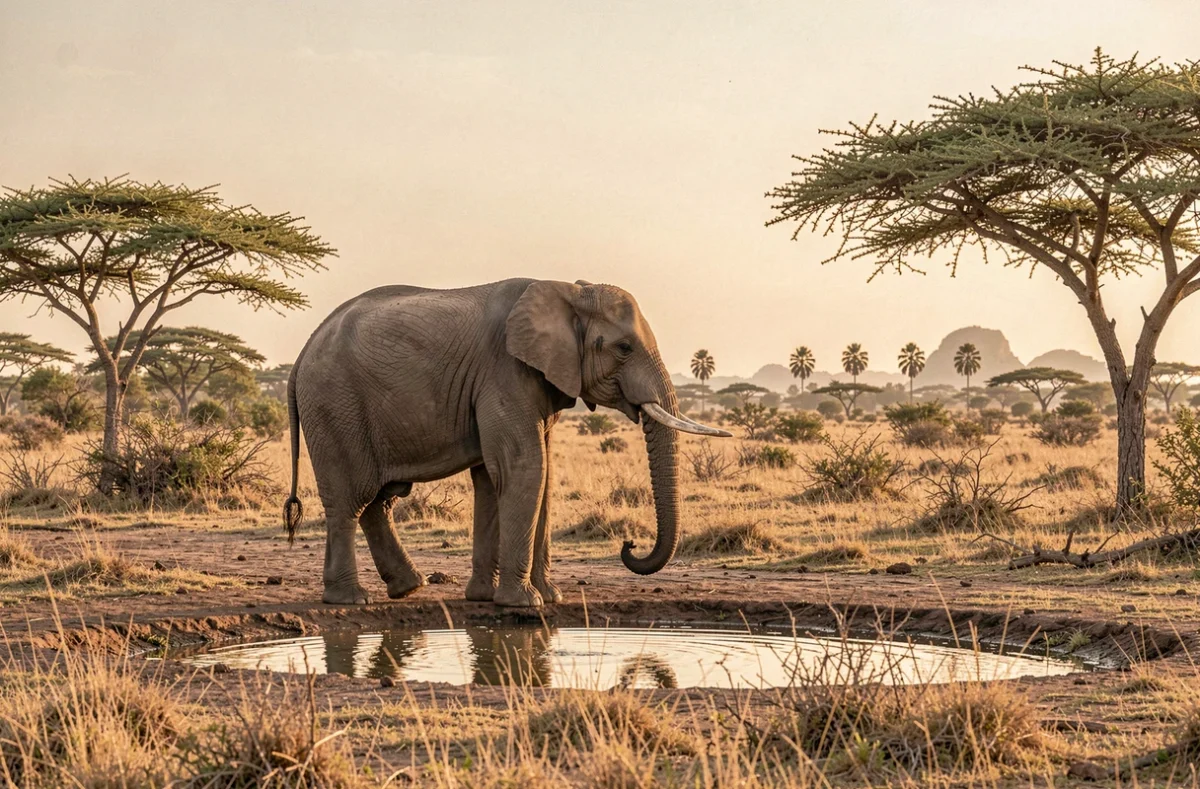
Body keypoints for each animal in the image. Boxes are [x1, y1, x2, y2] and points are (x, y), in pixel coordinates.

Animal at [282, 278, 729, 607]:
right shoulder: (505, 371)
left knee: (379, 501)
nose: (629, 545)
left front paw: (526, 597)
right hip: (334, 405)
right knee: (352, 498)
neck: (568, 290)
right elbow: (525, 466)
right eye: (623, 348)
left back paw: (410, 588)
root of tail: (301, 354)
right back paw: (352, 599)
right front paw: (525, 603)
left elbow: (519, 475)